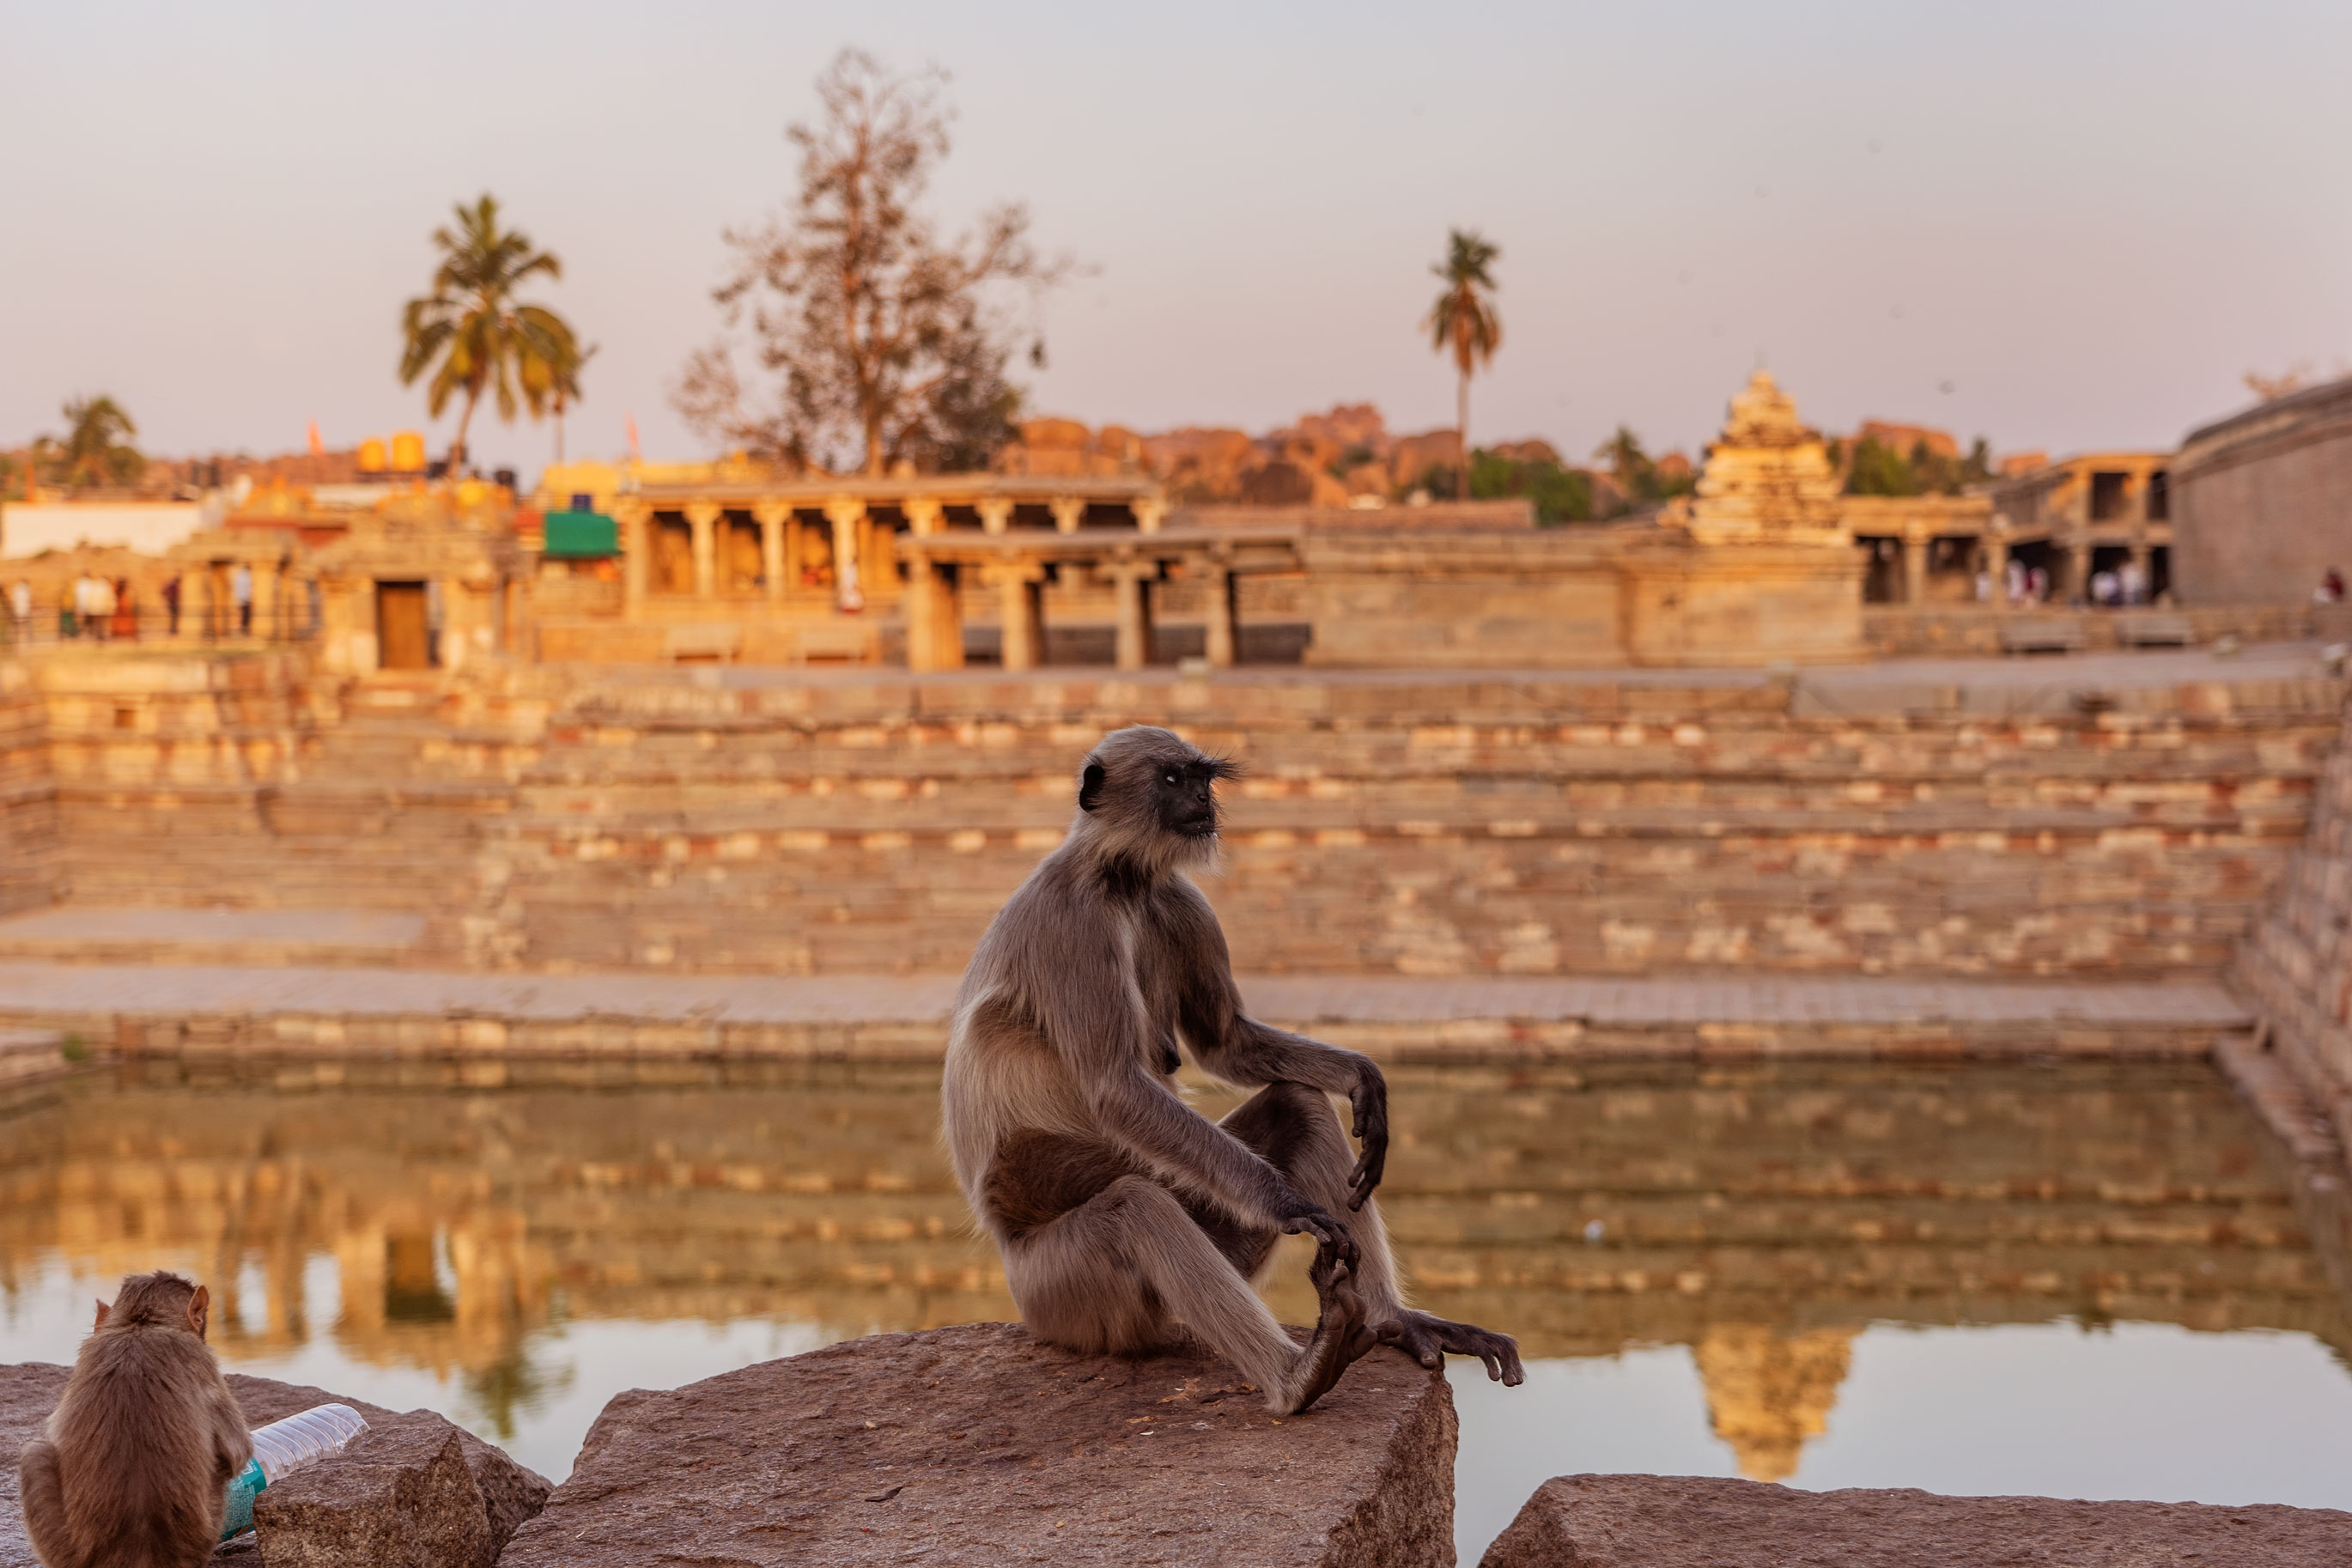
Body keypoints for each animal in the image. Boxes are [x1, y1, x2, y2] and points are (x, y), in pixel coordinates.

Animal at [940, 728, 1523, 1419]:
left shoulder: (1179, 901)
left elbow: (1226, 1043)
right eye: (1172, 779)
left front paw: (1364, 1080)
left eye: (1202, 779)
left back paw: (1392, 1322)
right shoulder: (1072, 920)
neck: (1123, 881)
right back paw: (1297, 1378)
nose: (1202, 800)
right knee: (1137, 1206)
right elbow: (1116, 1087)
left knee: (1298, 1104)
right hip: (1060, 1296)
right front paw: (1286, 1203)